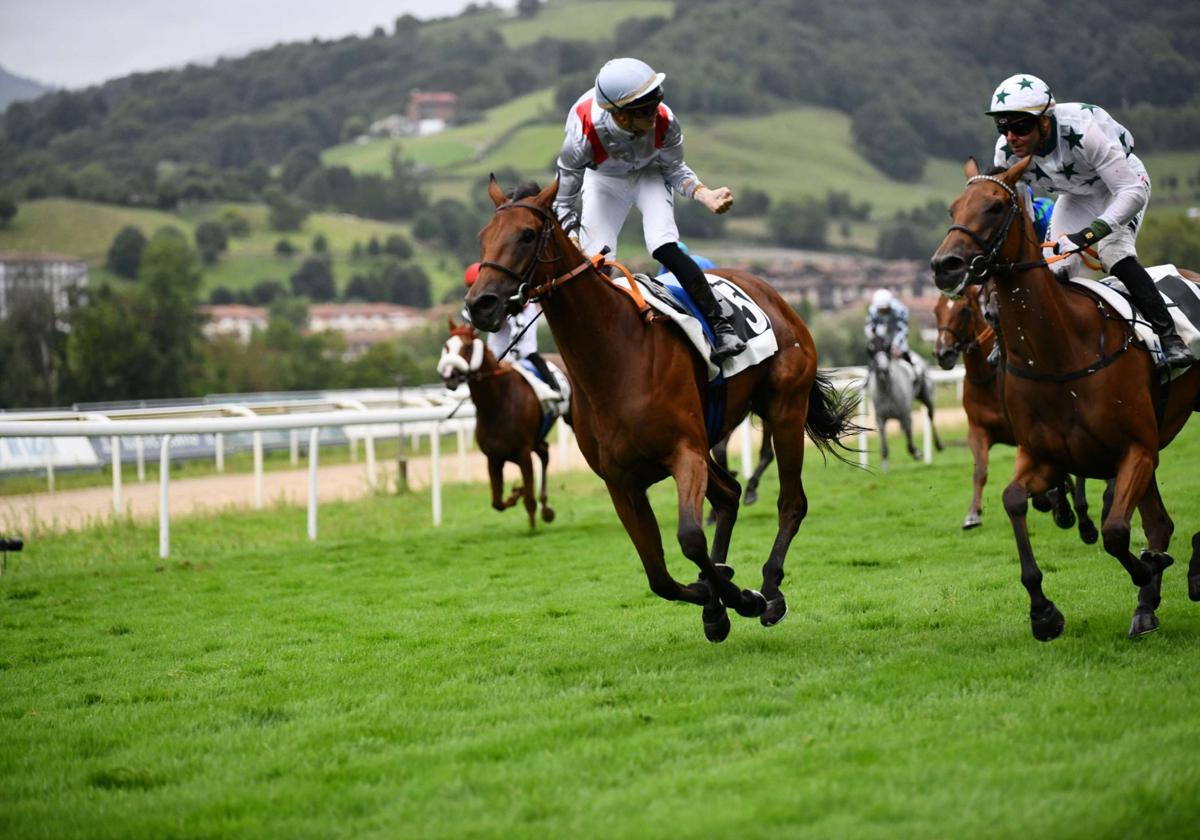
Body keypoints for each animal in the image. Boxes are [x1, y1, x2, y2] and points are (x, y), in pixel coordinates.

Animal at [439, 319, 573, 528]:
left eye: (468, 347)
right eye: (447, 346)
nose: (449, 375)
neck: (496, 404)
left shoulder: (523, 453)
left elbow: (529, 500)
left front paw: (532, 525)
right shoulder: (493, 457)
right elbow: (497, 502)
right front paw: (515, 494)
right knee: (544, 452)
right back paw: (545, 506)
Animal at [463, 178, 859, 643]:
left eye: (526, 235)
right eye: (482, 237)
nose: (480, 303)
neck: (614, 357)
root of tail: (772, 293)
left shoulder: (684, 453)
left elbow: (690, 539)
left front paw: (743, 598)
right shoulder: (623, 483)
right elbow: (659, 577)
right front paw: (714, 601)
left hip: (784, 409)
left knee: (790, 502)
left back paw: (771, 589)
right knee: (729, 494)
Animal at [931, 290, 1099, 537]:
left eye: (964, 310)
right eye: (936, 311)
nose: (943, 354)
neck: (986, 380)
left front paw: (1058, 504)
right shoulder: (978, 430)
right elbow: (980, 471)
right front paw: (972, 515)